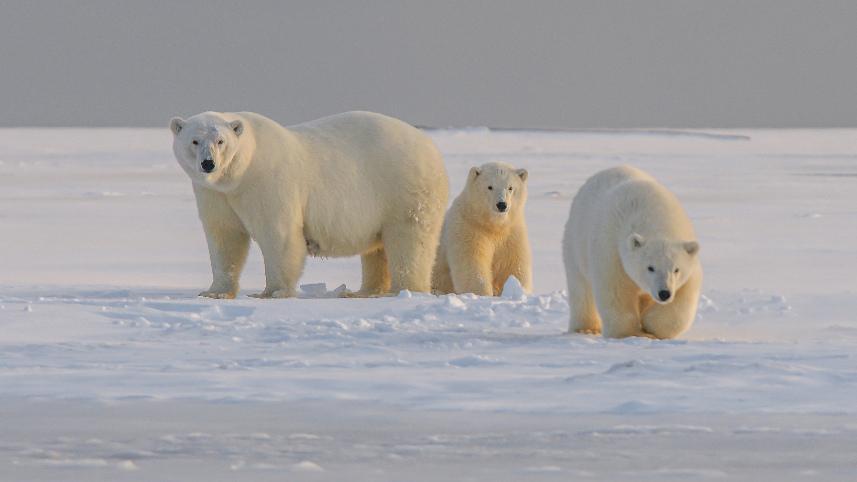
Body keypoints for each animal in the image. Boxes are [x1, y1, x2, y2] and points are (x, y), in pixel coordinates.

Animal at [169, 110, 449, 299]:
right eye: (194, 141)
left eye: (221, 141)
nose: (208, 164)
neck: (240, 173)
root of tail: (430, 146)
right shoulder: (215, 194)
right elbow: (224, 237)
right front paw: (214, 292)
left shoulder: (268, 182)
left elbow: (278, 235)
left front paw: (273, 292)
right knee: (377, 250)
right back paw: (364, 291)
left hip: (402, 189)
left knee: (409, 240)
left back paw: (405, 290)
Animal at [432, 162, 532, 296]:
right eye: (490, 187)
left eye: (510, 187)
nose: (501, 205)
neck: (492, 225)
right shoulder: (469, 228)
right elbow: (472, 264)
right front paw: (482, 294)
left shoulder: (511, 233)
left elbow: (513, 265)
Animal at [561, 165, 701, 339]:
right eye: (650, 267)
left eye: (676, 269)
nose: (664, 293)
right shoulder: (612, 250)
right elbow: (616, 291)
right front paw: (632, 333)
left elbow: (685, 295)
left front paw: (650, 326)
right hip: (575, 242)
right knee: (581, 288)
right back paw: (585, 328)